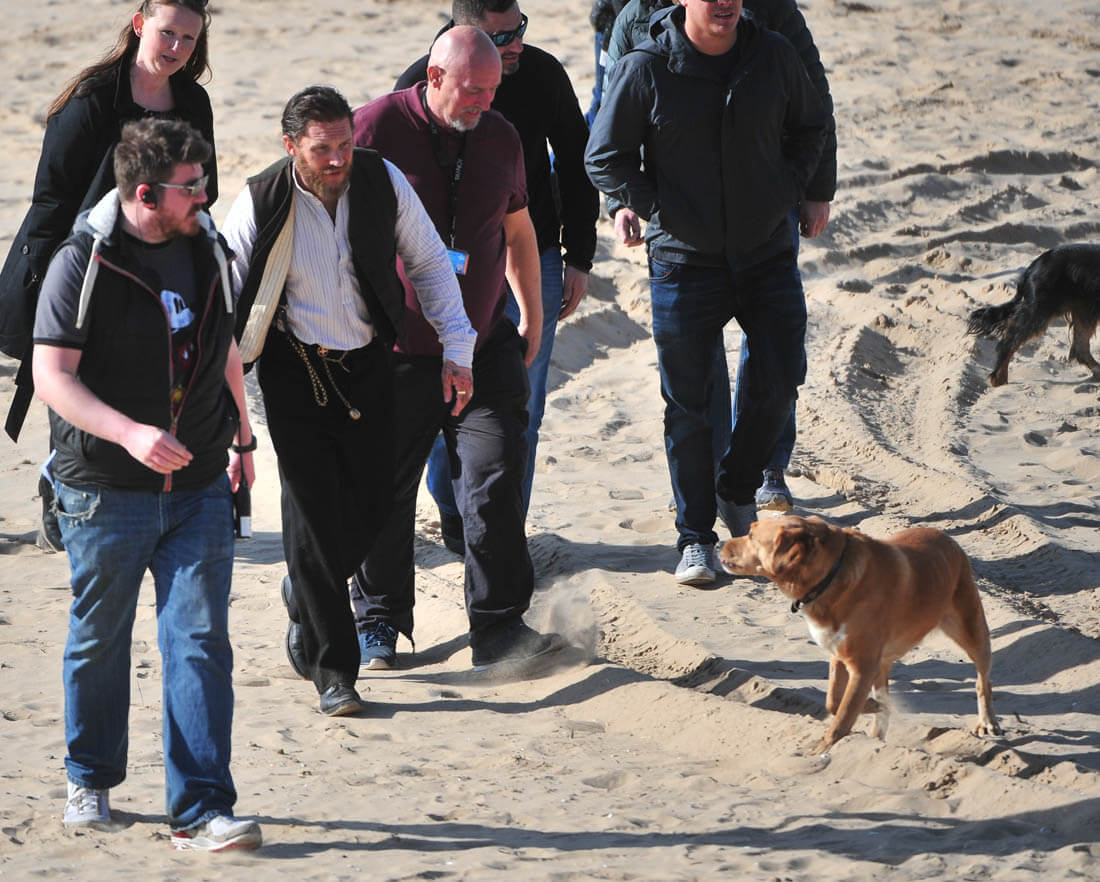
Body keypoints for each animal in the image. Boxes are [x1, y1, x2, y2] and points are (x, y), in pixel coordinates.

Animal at [717, 515, 1000, 755]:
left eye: (751, 535)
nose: (719, 544)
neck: (830, 576)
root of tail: (948, 539)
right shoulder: (839, 655)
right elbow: (834, 702)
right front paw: (873, 707)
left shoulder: (861, 665)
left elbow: (842, 716)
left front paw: (820, 752)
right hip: (883, 657)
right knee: (883, 689)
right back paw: (878, 728)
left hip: (971, 629)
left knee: (983, 680)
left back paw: (987, 722)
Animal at [967, 243, 1100, 387]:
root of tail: (1033, 266)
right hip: (1039, 312)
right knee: (1008, 342)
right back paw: (998, 379)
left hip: (1084, 311)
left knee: (1081, 347)